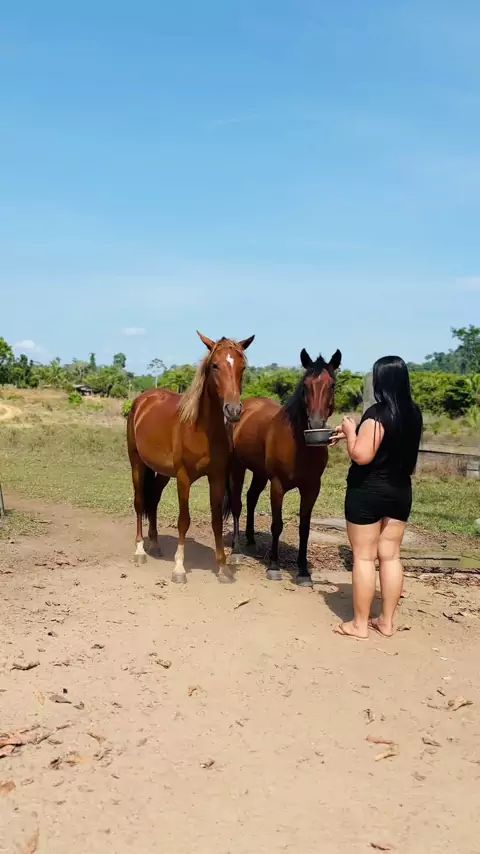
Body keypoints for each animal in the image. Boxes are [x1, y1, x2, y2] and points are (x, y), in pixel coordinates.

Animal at [127, 332, 255, 583]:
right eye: (215, 365)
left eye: (242, 366)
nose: (233, 410)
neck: (201, 429)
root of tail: (142, 400)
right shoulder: (184, 478)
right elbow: (183, 520)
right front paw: (179, 568)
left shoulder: (216, 477)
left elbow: (216, 521)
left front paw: (223, 568)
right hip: (137, 463)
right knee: (139, 502)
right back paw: (139, 551)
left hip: (163, 473)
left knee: (153, 501)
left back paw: (155, 544)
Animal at [225, 348, 341, 586]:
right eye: (305, 385)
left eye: (332, 385)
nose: (315, 424)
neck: (299, 447)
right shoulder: (278, 485)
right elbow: (277, 524)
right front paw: (274, 567)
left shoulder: (311, 489)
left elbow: (304, 528)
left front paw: (303, 572)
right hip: (237, 467)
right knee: (237, 504)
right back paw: (237, 550)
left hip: (260, 473)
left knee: (251, 498)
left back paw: (251, 540)